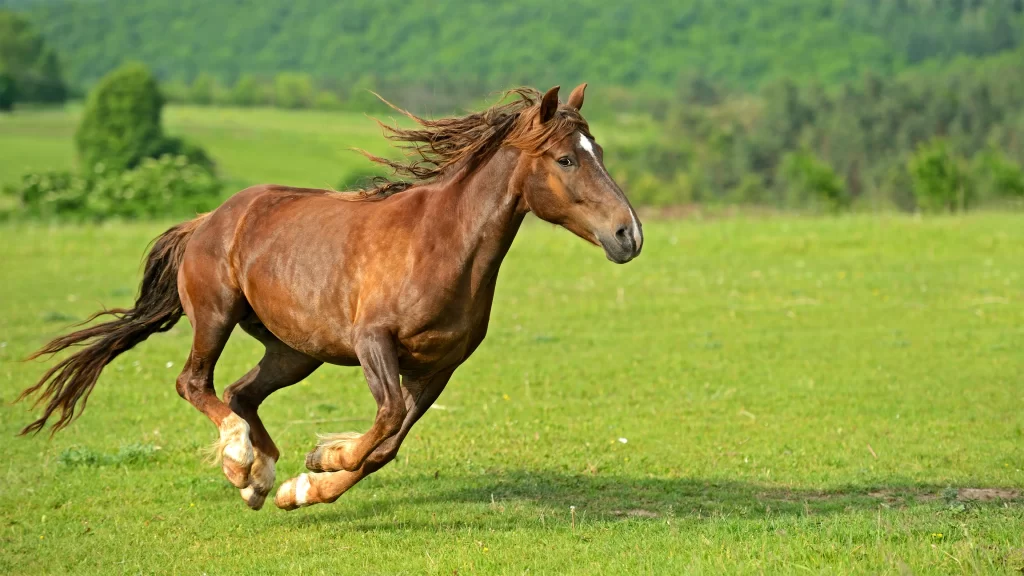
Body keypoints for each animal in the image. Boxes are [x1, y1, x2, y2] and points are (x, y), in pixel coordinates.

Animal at [18, 84, 643, 511]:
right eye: (566, 158)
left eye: (598, 149)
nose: (628, 235)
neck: (442, 244)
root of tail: (207, 220)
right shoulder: (374, 343)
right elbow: (385, 421)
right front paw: (323, 459)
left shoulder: (439, 366)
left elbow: (387, 445)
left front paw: (304, 484)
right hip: (216, 316)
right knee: (195, 383)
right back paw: (240, 461)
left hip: (295, 351)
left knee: (242, 393)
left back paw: (260, 480)